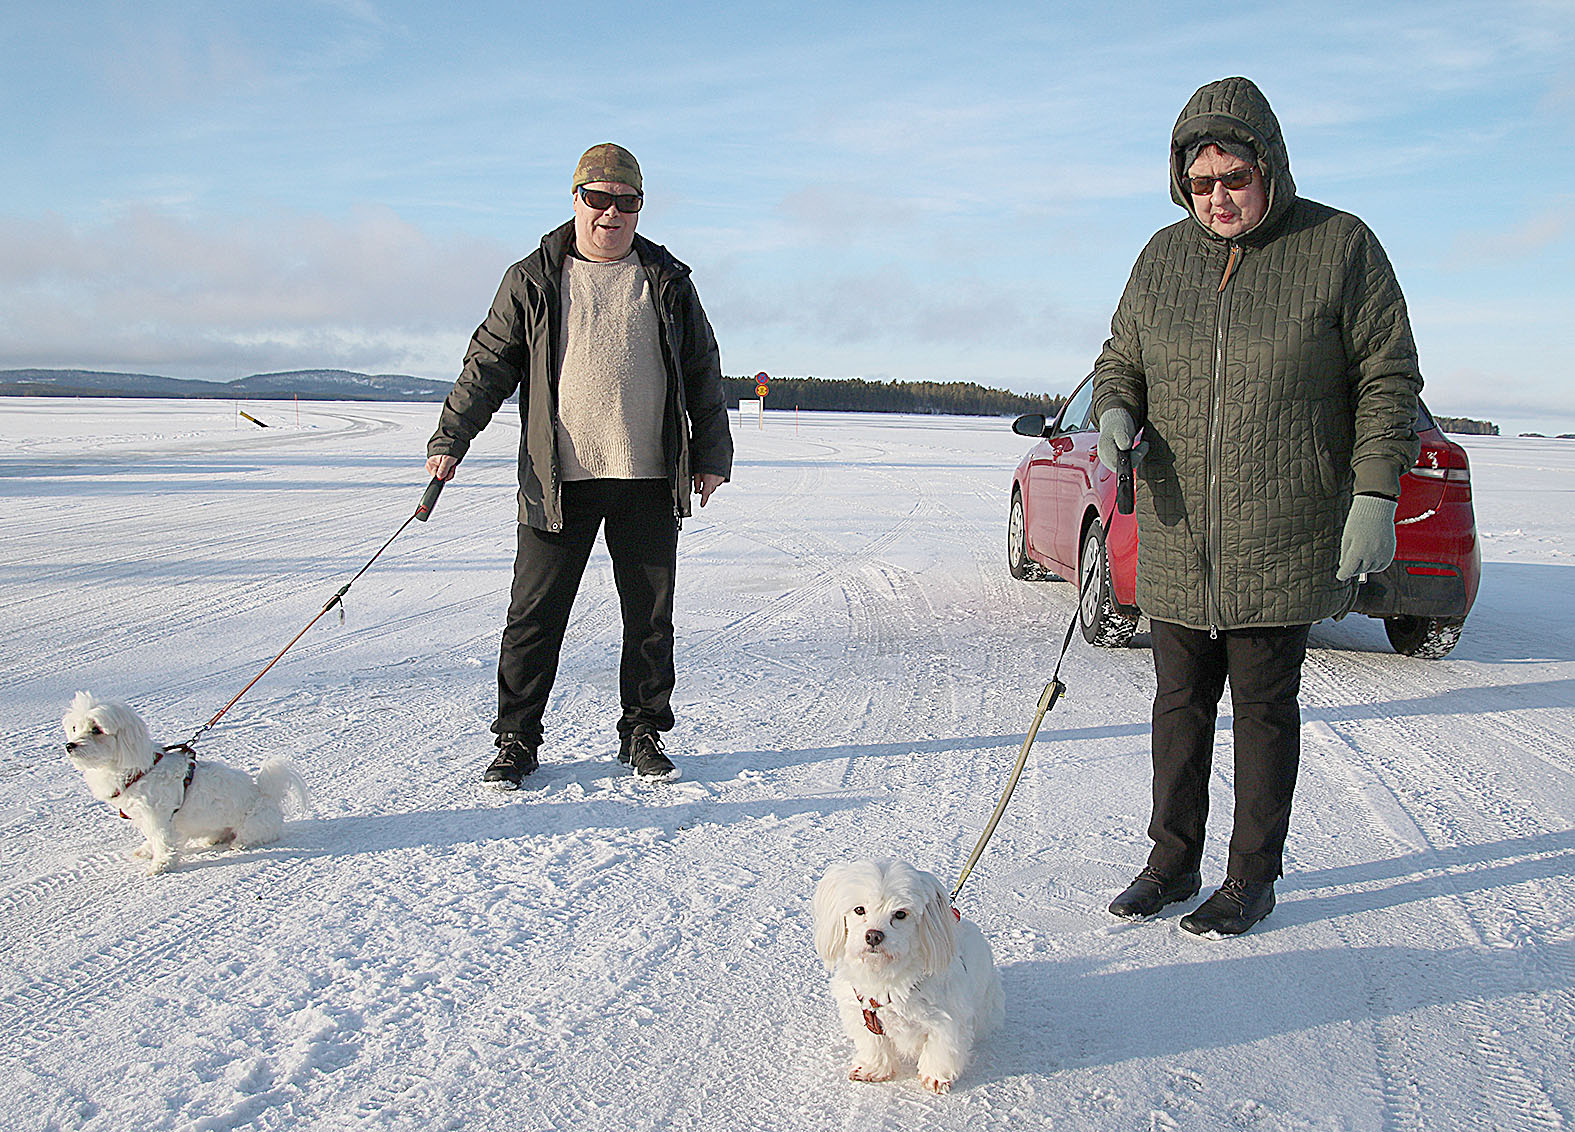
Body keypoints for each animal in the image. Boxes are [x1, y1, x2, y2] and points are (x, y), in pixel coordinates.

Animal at [63, 689, 311, 875]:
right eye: (75, 728)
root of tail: (266, 794)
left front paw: (161, 865)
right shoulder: (146, 818)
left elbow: (162, 841)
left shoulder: (158, 817)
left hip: (254, 823)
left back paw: (239, 843)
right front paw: (147, 850)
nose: (69, 745)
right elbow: (152, 838)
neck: (138, 768)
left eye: (96, 729)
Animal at [812, 862, 1008, 1095]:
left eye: (900, 914)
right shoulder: (863, 1015)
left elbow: (941, 1050)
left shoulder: (947, 1020)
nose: (873, 935)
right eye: (859, 910)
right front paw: (872, 1069)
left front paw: (935, 1078)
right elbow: (873, 1045)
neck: (885, 977)